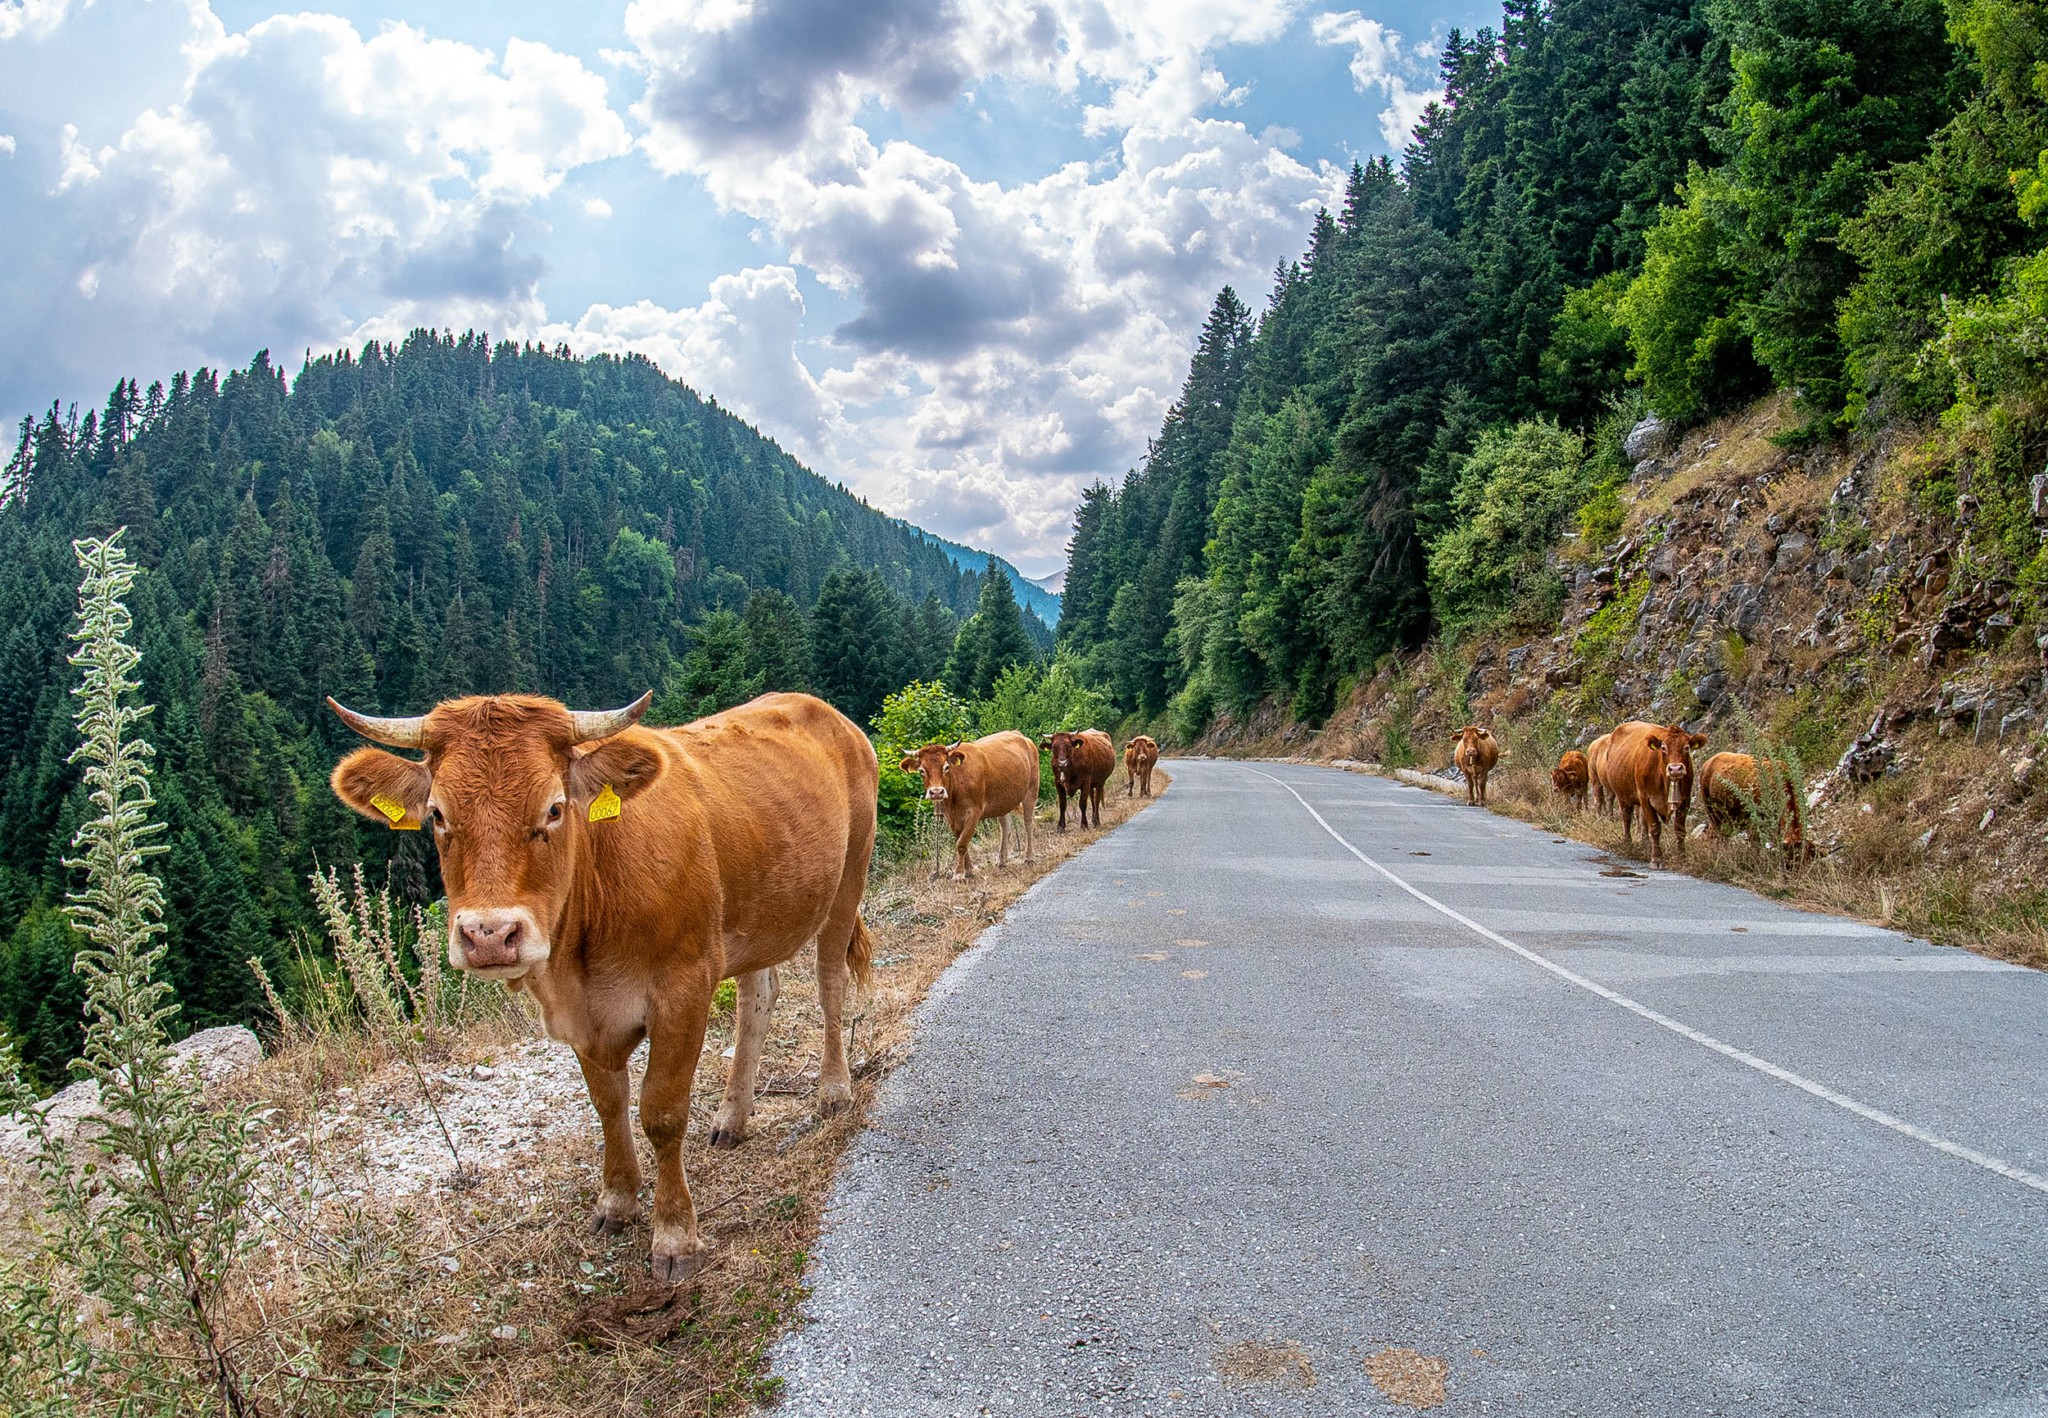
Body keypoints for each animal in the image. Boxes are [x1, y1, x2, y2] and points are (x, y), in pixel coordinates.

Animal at [323, 688, 876, 1286]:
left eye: (554, 808)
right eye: (438, 814)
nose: (489, 935)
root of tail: (820, 708)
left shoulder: (684, 989)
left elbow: (662, 1112)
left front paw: (674, 1235)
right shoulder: (581, 1016)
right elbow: (608, 1105)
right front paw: (616, 1201)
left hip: (849, 875)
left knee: (828, 982)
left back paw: (833, 1090)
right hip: (755, 915)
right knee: (759, 996)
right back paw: (733, 1117)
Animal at [901, 729, 1040, 877]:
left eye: (946, 767)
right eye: (922, 770)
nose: (937, 792)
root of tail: (1018, 734)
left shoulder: (974, 812)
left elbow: (962, 843)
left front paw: (958, 873)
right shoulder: (951, 817)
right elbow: (961, 840)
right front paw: (968, 870)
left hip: (1031, 790)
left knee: (1028, 823)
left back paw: (1030, 858)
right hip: (1002, 801)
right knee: (1006, 826)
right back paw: (1002, 860)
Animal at [1605, 721, 1703, 864]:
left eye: (1686, 747)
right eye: (1663, 748)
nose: (1675, 769)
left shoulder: (1685, 800)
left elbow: (1679, 829)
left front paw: (1682, 857)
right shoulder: (1645, 798)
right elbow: (1655, 828)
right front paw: (1656, 858)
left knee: (1642, 819)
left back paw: (1645, 843)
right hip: (1622, 795)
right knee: (1626, 816)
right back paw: (1627, 842)